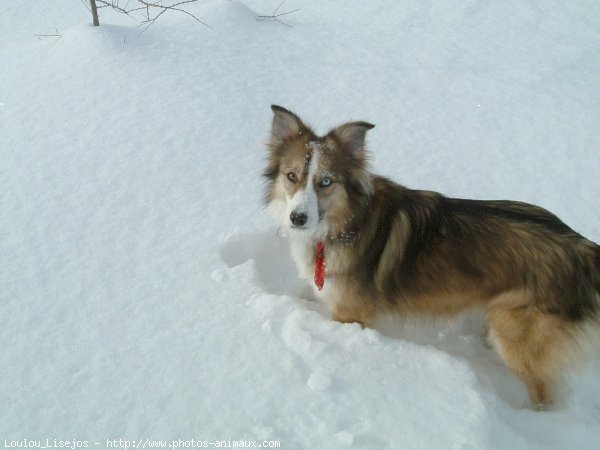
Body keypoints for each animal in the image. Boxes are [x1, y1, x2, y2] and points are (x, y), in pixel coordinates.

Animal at [264, 105, 600, 408]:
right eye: (291, 176)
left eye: (325, 181)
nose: (297, 219)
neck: (346, 223)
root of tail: (583, 248)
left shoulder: (350, 314)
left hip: (516, 330)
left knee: (542, 391)